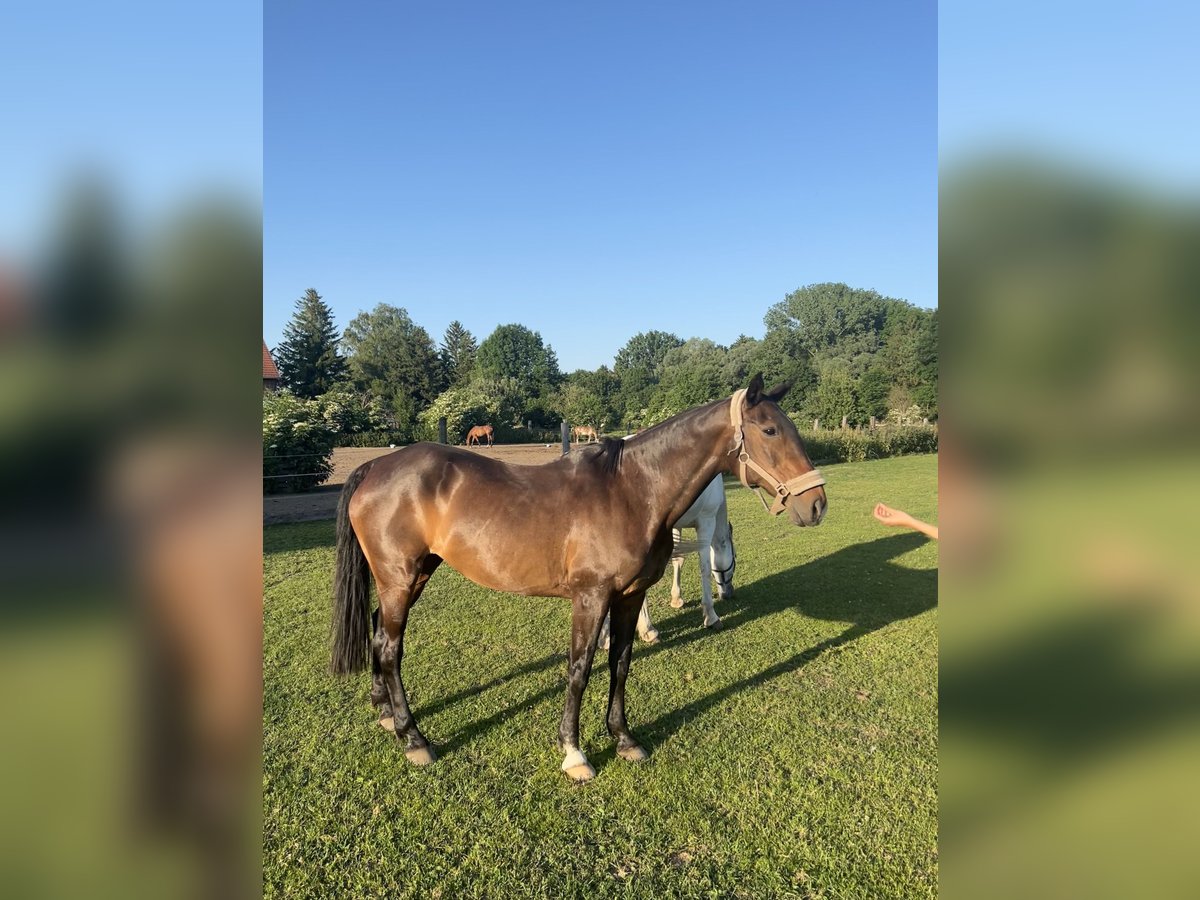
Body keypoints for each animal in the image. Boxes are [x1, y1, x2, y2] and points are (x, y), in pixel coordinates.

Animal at [597, 475, 734, 652]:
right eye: (735, 556)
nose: (729, 593)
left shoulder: (676, 525)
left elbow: (678, 560)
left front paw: (677, 599)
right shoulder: (706, 521)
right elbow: (705, 568)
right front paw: (711, 617)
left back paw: (606, 636)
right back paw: (647, 630)